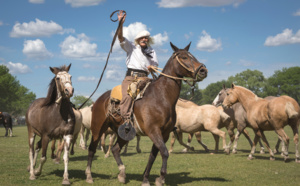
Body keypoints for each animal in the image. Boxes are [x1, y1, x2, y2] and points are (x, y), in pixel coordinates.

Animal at [85, 42, 207, 185]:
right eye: (184, 57)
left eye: (192, 55)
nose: (203, 70)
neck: (161, 97)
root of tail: (99, 99)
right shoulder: (153, 131)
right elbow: (164, 152)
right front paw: (161, 178)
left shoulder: (164, 133)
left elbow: (153, 156)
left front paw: (146, 179)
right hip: (97, 128)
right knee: (92, 149)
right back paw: (89, 176)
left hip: (123, 133)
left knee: (115, 149)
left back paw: (122, 174)